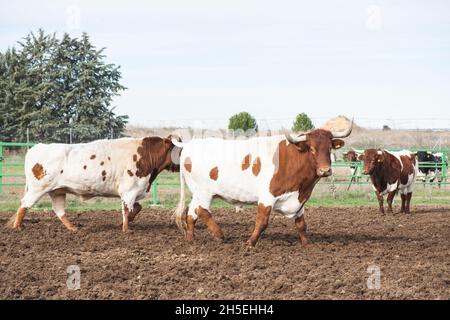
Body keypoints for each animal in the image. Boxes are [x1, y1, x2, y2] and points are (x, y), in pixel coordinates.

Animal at [8, 136, 181, 232]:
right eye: (178, 149)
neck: (145, 155)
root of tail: (37, 147)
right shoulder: (129, 191)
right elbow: (127, 210)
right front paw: (126, 229)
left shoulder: (133, 193)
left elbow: (137, 208)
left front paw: (125, 222)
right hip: (38, 189)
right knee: (24, 205)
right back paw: (17, 227)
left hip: (57, 191)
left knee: (59, 211)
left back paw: (73, 228)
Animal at [171, 120, 352, 248]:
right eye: (312, 149)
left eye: (329, 148)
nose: (325, 170)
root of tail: (190, 145)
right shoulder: (267, 197)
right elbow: (262, 222)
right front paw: (251, 243)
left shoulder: (299, 199)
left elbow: (301, 224)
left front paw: (306, 244)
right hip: (204, 192)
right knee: (202, 211)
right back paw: (219, 234)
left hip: (197, 193)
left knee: (191, 214)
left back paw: (191, 239)